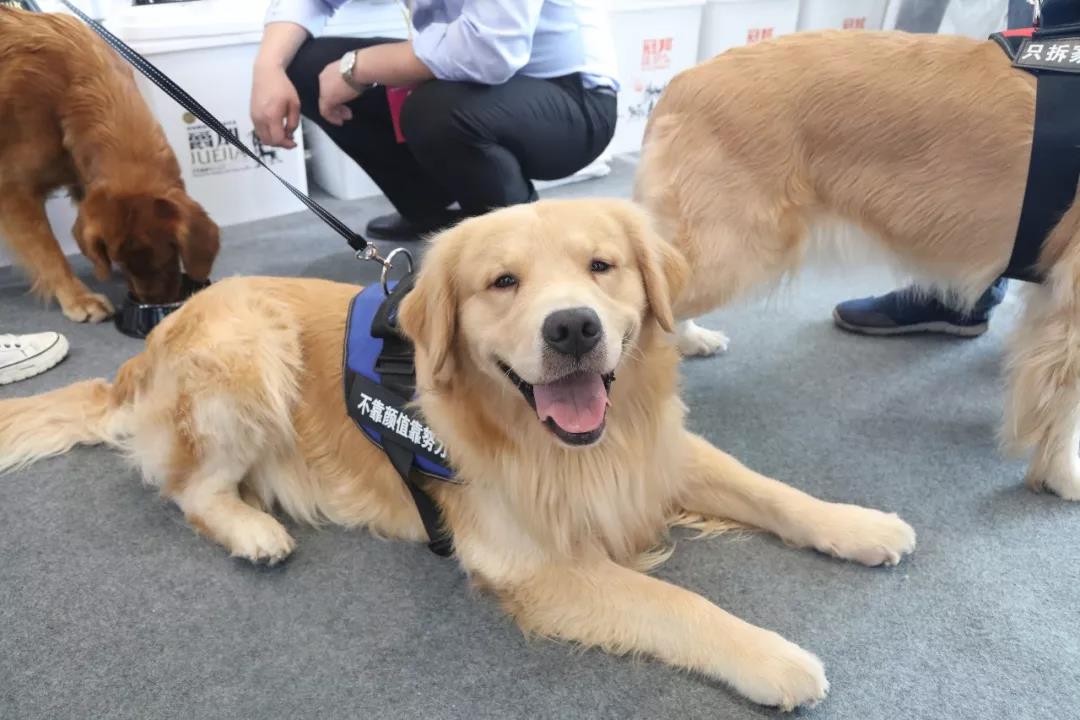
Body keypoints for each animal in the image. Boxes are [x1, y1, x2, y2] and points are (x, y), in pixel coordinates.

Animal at [0, 8, 219, 321]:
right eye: (123, 262)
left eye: (171, 253)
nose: (154, 303)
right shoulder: (13, 189)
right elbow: (47, 250)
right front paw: (78, 298)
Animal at [0, 199, 916, 710]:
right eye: (501, 282)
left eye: (603, 266)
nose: (572, 327)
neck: (566, 447)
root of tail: (155, 338)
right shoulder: (536, 567)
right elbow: (679, 605)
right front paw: (776, 659)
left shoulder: (654, 452)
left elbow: (771, 491)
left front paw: (860, 525)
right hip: (248, 351)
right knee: (190, 490)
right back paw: (253, 531)